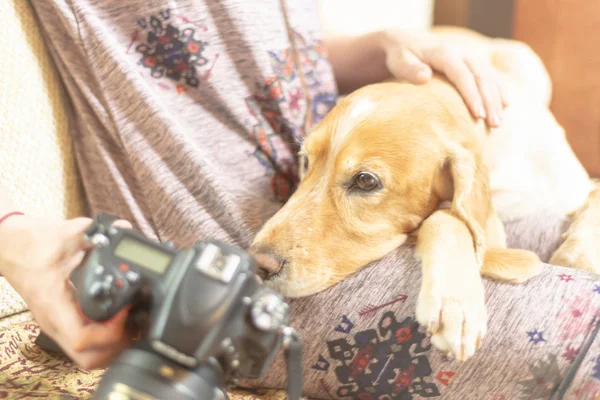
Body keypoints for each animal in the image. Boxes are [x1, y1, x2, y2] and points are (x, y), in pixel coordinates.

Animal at [248, 26, 600, 360]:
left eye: (366, 181)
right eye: (306, 161)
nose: (258, 264)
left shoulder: (579, 184)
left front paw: (579, 256)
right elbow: (445, 217)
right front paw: (455, 301)